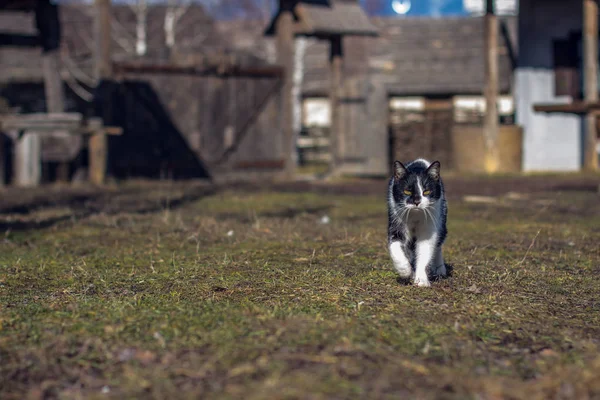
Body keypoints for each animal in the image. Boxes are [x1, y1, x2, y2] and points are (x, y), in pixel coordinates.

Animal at [386, 158, 448, 286]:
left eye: (426, 192)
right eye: (407, 191)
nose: (416, 201)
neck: (415, 216)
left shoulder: (429, 228)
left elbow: (425, 250)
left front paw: (421, 280)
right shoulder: (396, 223)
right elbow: (395, 247)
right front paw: (405, 270)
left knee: (438, 245)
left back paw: (439, 269)